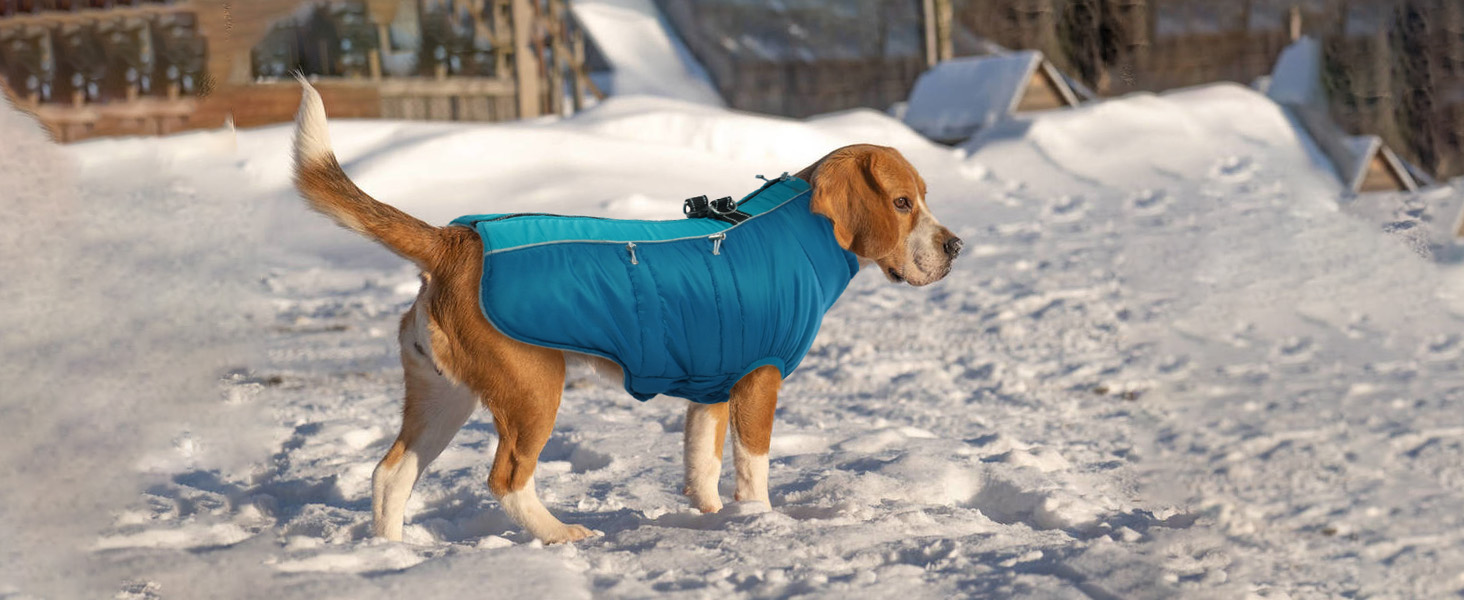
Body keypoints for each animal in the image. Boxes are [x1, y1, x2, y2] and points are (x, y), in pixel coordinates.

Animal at [291, 79, 966, 544]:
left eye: (924, 199)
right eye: (902, 203)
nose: (955, 246)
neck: (799, 230)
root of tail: (456, 241)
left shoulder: (712, 390)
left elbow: (701, 466)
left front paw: (712, 519)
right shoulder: (760, 381)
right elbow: (753, 470)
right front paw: (759, 522)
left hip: (443, 396)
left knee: (390, 474)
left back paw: (393, 555)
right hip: (533, 390)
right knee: (506, 480)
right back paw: (559, 535)